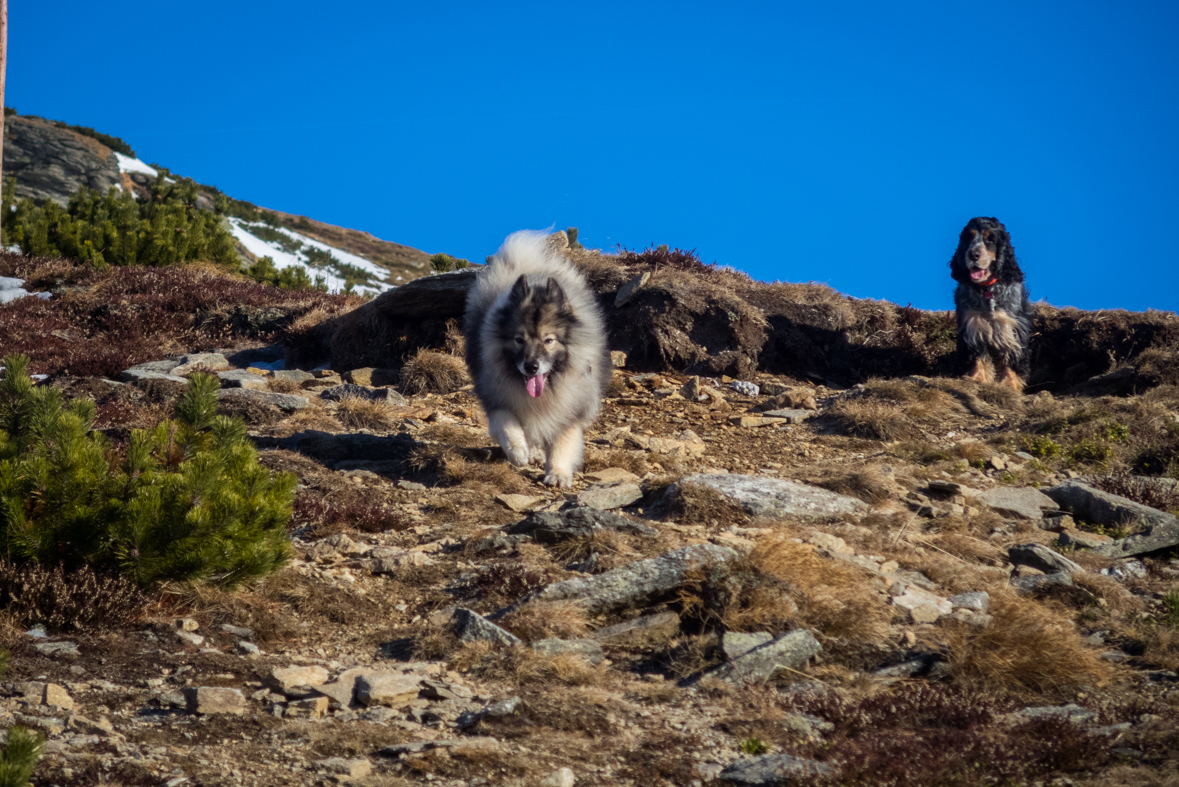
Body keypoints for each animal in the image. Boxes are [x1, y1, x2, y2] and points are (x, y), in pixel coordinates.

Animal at [459, 228, 608, 485]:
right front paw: (518, 452)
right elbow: (507, 423)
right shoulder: (498, 400)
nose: (531, 367)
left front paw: (558, 473)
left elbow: (563, 441)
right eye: (519, 339)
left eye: (549, 340)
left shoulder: (570, 409)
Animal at [947, 216, 1032, 391]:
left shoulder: (1011, 326)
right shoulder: (973, 324)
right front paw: (977, 378)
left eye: (990, 239)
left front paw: (1010, 384)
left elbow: (1011, 355)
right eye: (968, 238)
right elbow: (978, 355)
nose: (973, 254)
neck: (987, 290)